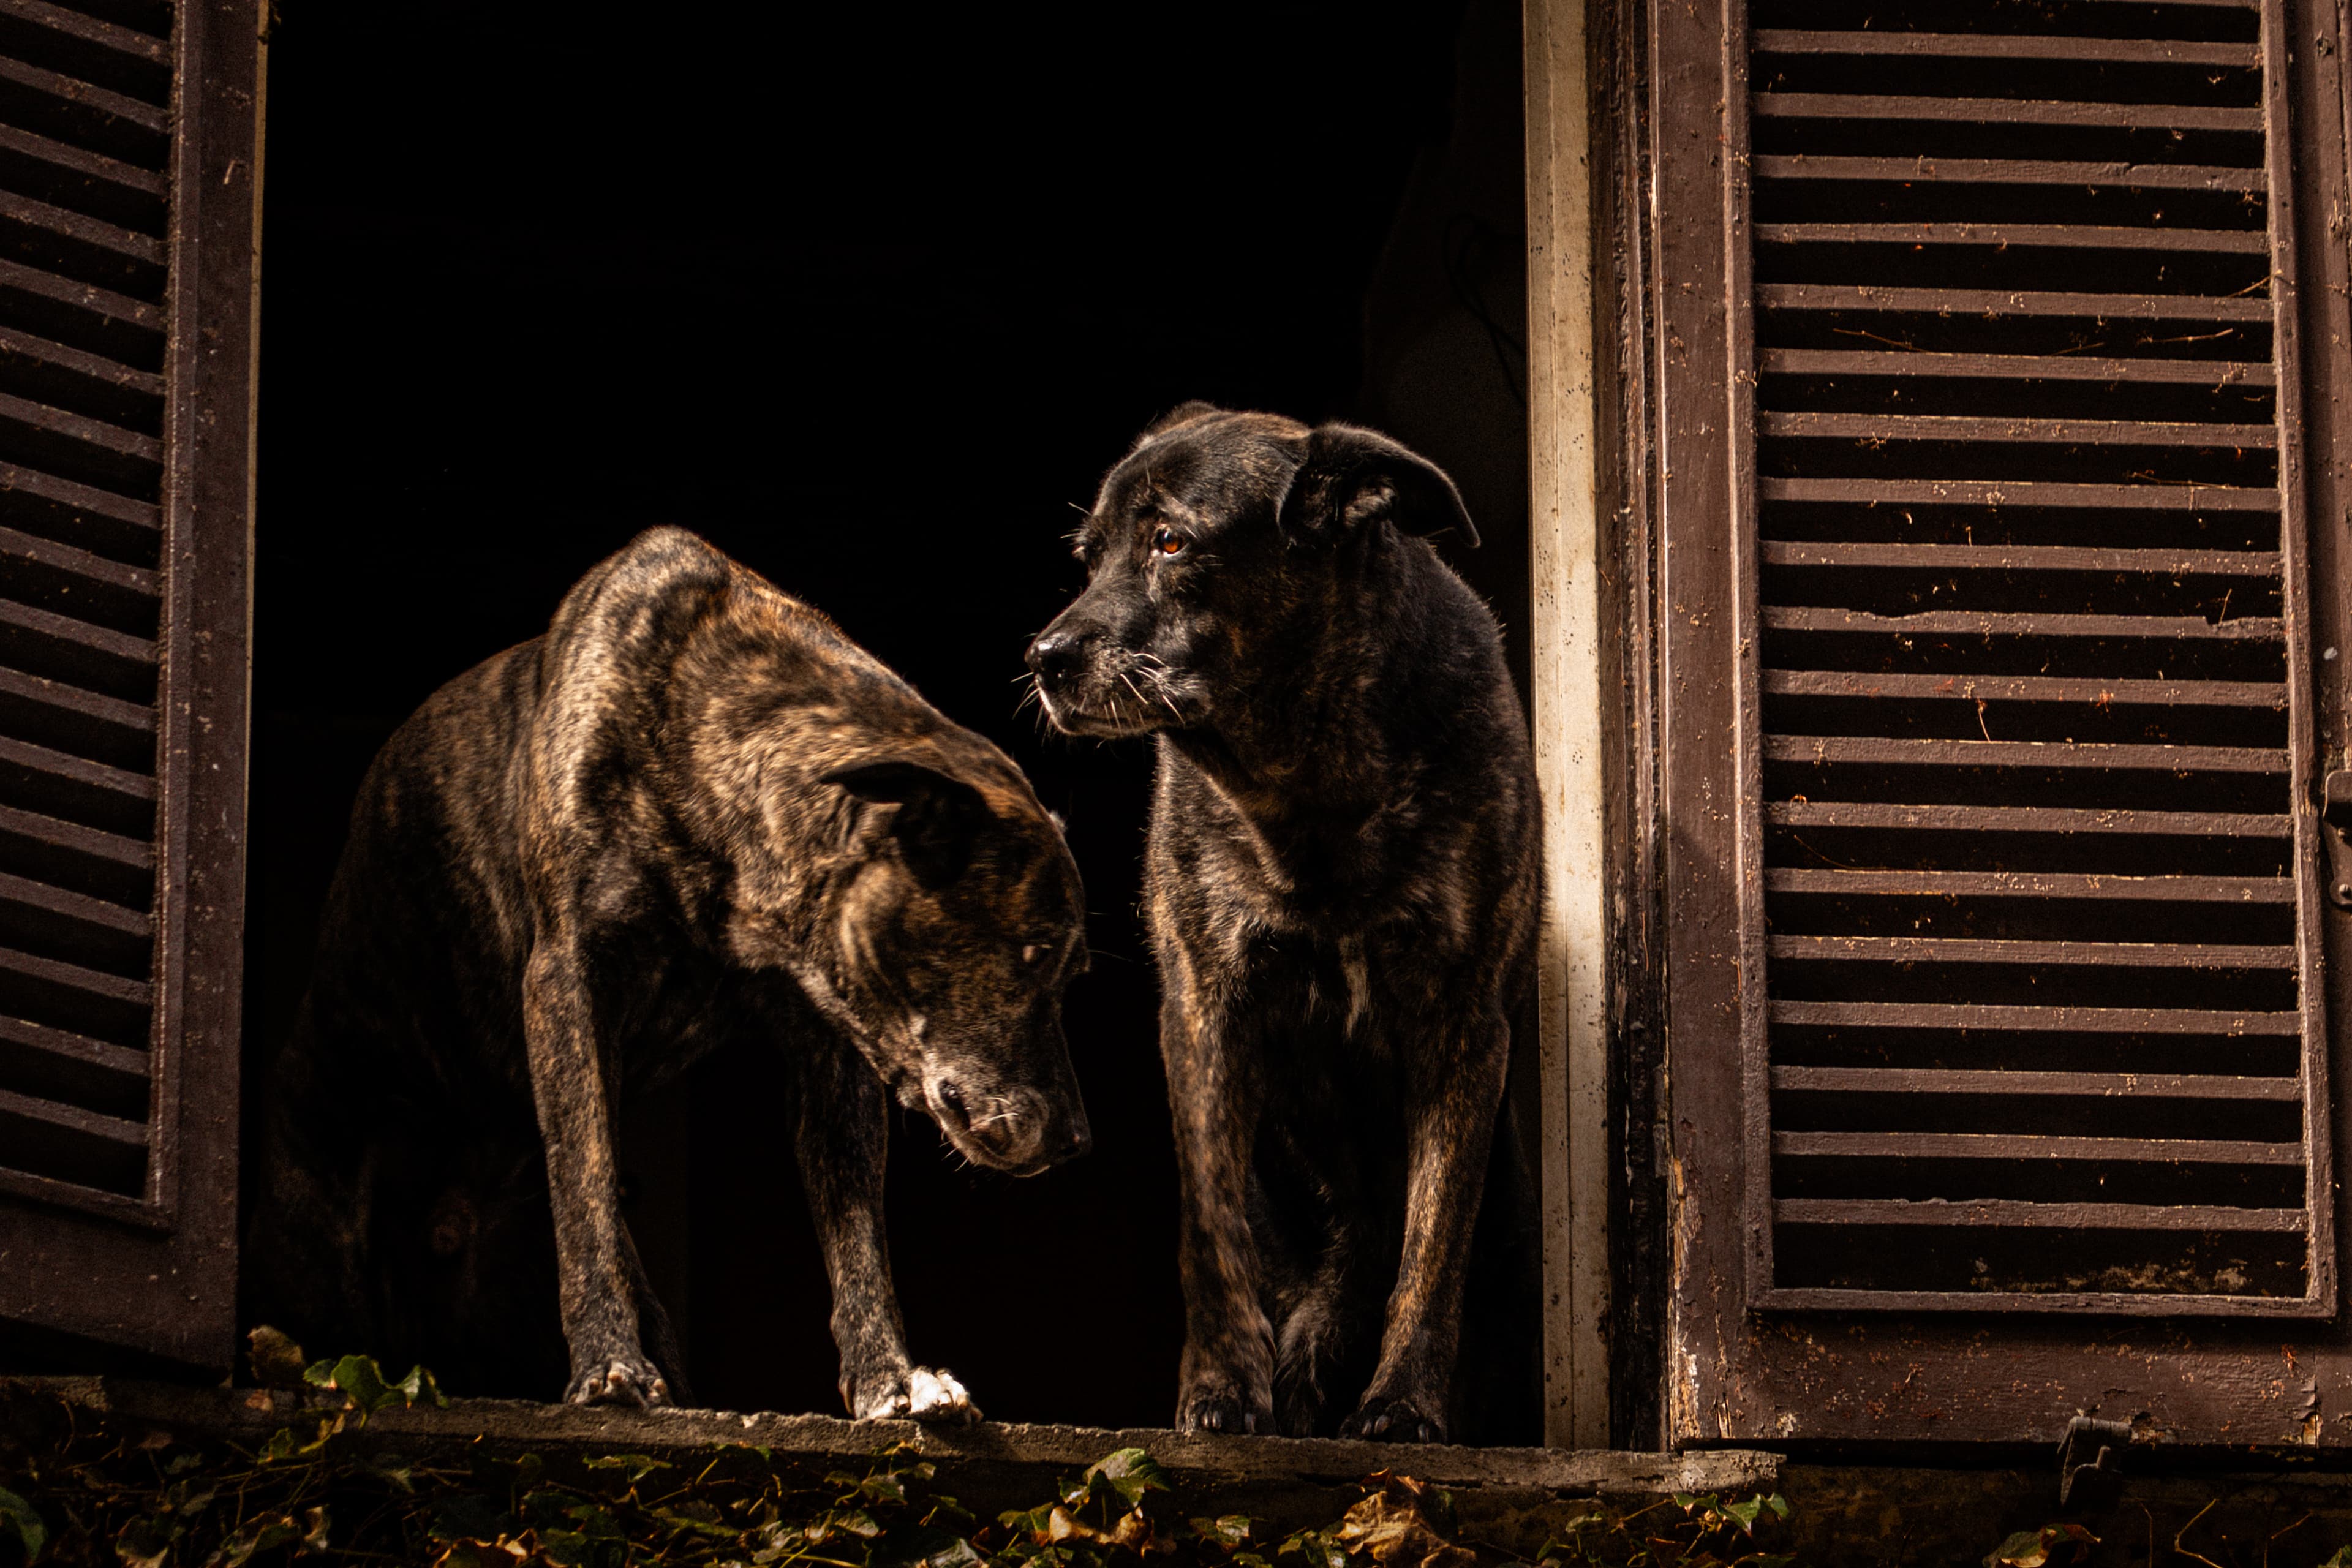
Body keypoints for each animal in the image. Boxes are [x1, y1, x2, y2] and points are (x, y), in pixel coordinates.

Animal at [248, 531, 1091, 1420]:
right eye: (1036, 951)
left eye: (1070, 967)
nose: (1077, 1140)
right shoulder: (569, 981)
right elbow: (585, 1186)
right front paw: (609, 1364)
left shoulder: (833, 1047)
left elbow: (858, 1238)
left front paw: (890, 1378)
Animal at [1030, 404, 1543, 1448]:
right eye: (1088, 556)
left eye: (1171, 542)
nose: (1044, 660)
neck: (1307, 783)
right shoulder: (1204, 1006)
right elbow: (1212, 1226)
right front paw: (1222, 1388)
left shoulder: (1462, 1024)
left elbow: (1434, 1244)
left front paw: (1403, 1405)